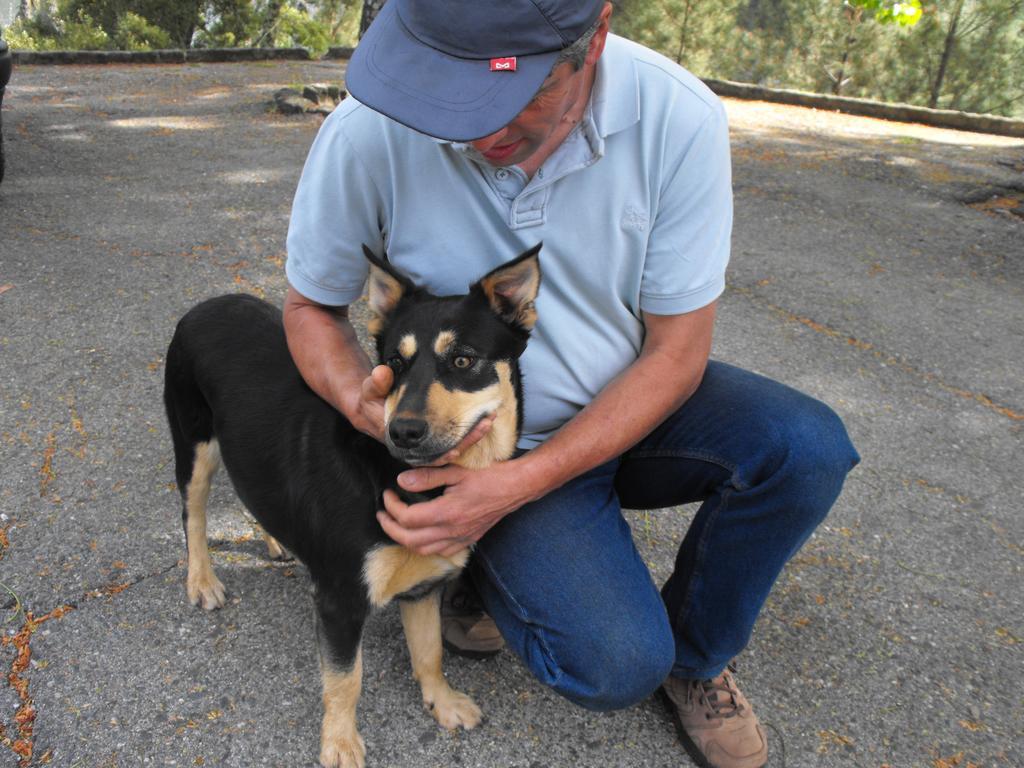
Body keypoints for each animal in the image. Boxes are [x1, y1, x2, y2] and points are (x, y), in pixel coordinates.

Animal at [163, 246, 540, 768]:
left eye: (463, 359)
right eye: (394, 363)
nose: (403, 431)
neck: (399, 476)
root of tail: (206, 304)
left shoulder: (424, 586)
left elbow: (429, 653)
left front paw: (442, 702)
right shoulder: (339, 600)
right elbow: (345, 681)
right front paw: (340, 742)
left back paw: (275, 539)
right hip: (195, 444)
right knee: (192, 515)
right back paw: (201, 580)